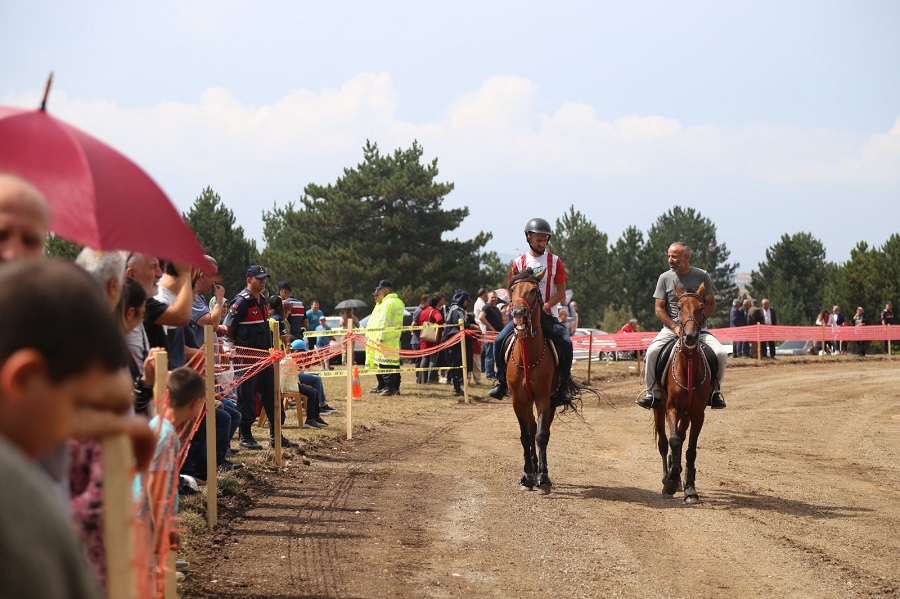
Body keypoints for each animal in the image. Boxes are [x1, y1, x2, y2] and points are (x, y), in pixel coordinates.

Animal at [652, 284, 712, 504]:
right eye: (678, 307)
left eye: (701, 308)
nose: (690, 336)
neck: (688, 363)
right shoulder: (671, 408)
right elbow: (674, 441)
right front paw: (670, 482)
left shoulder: (697, 413)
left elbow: (690, 448)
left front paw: (690, 489)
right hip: (659, 408)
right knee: (664, 442)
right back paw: (668, 477)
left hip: (686, 415)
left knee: (681, 435)